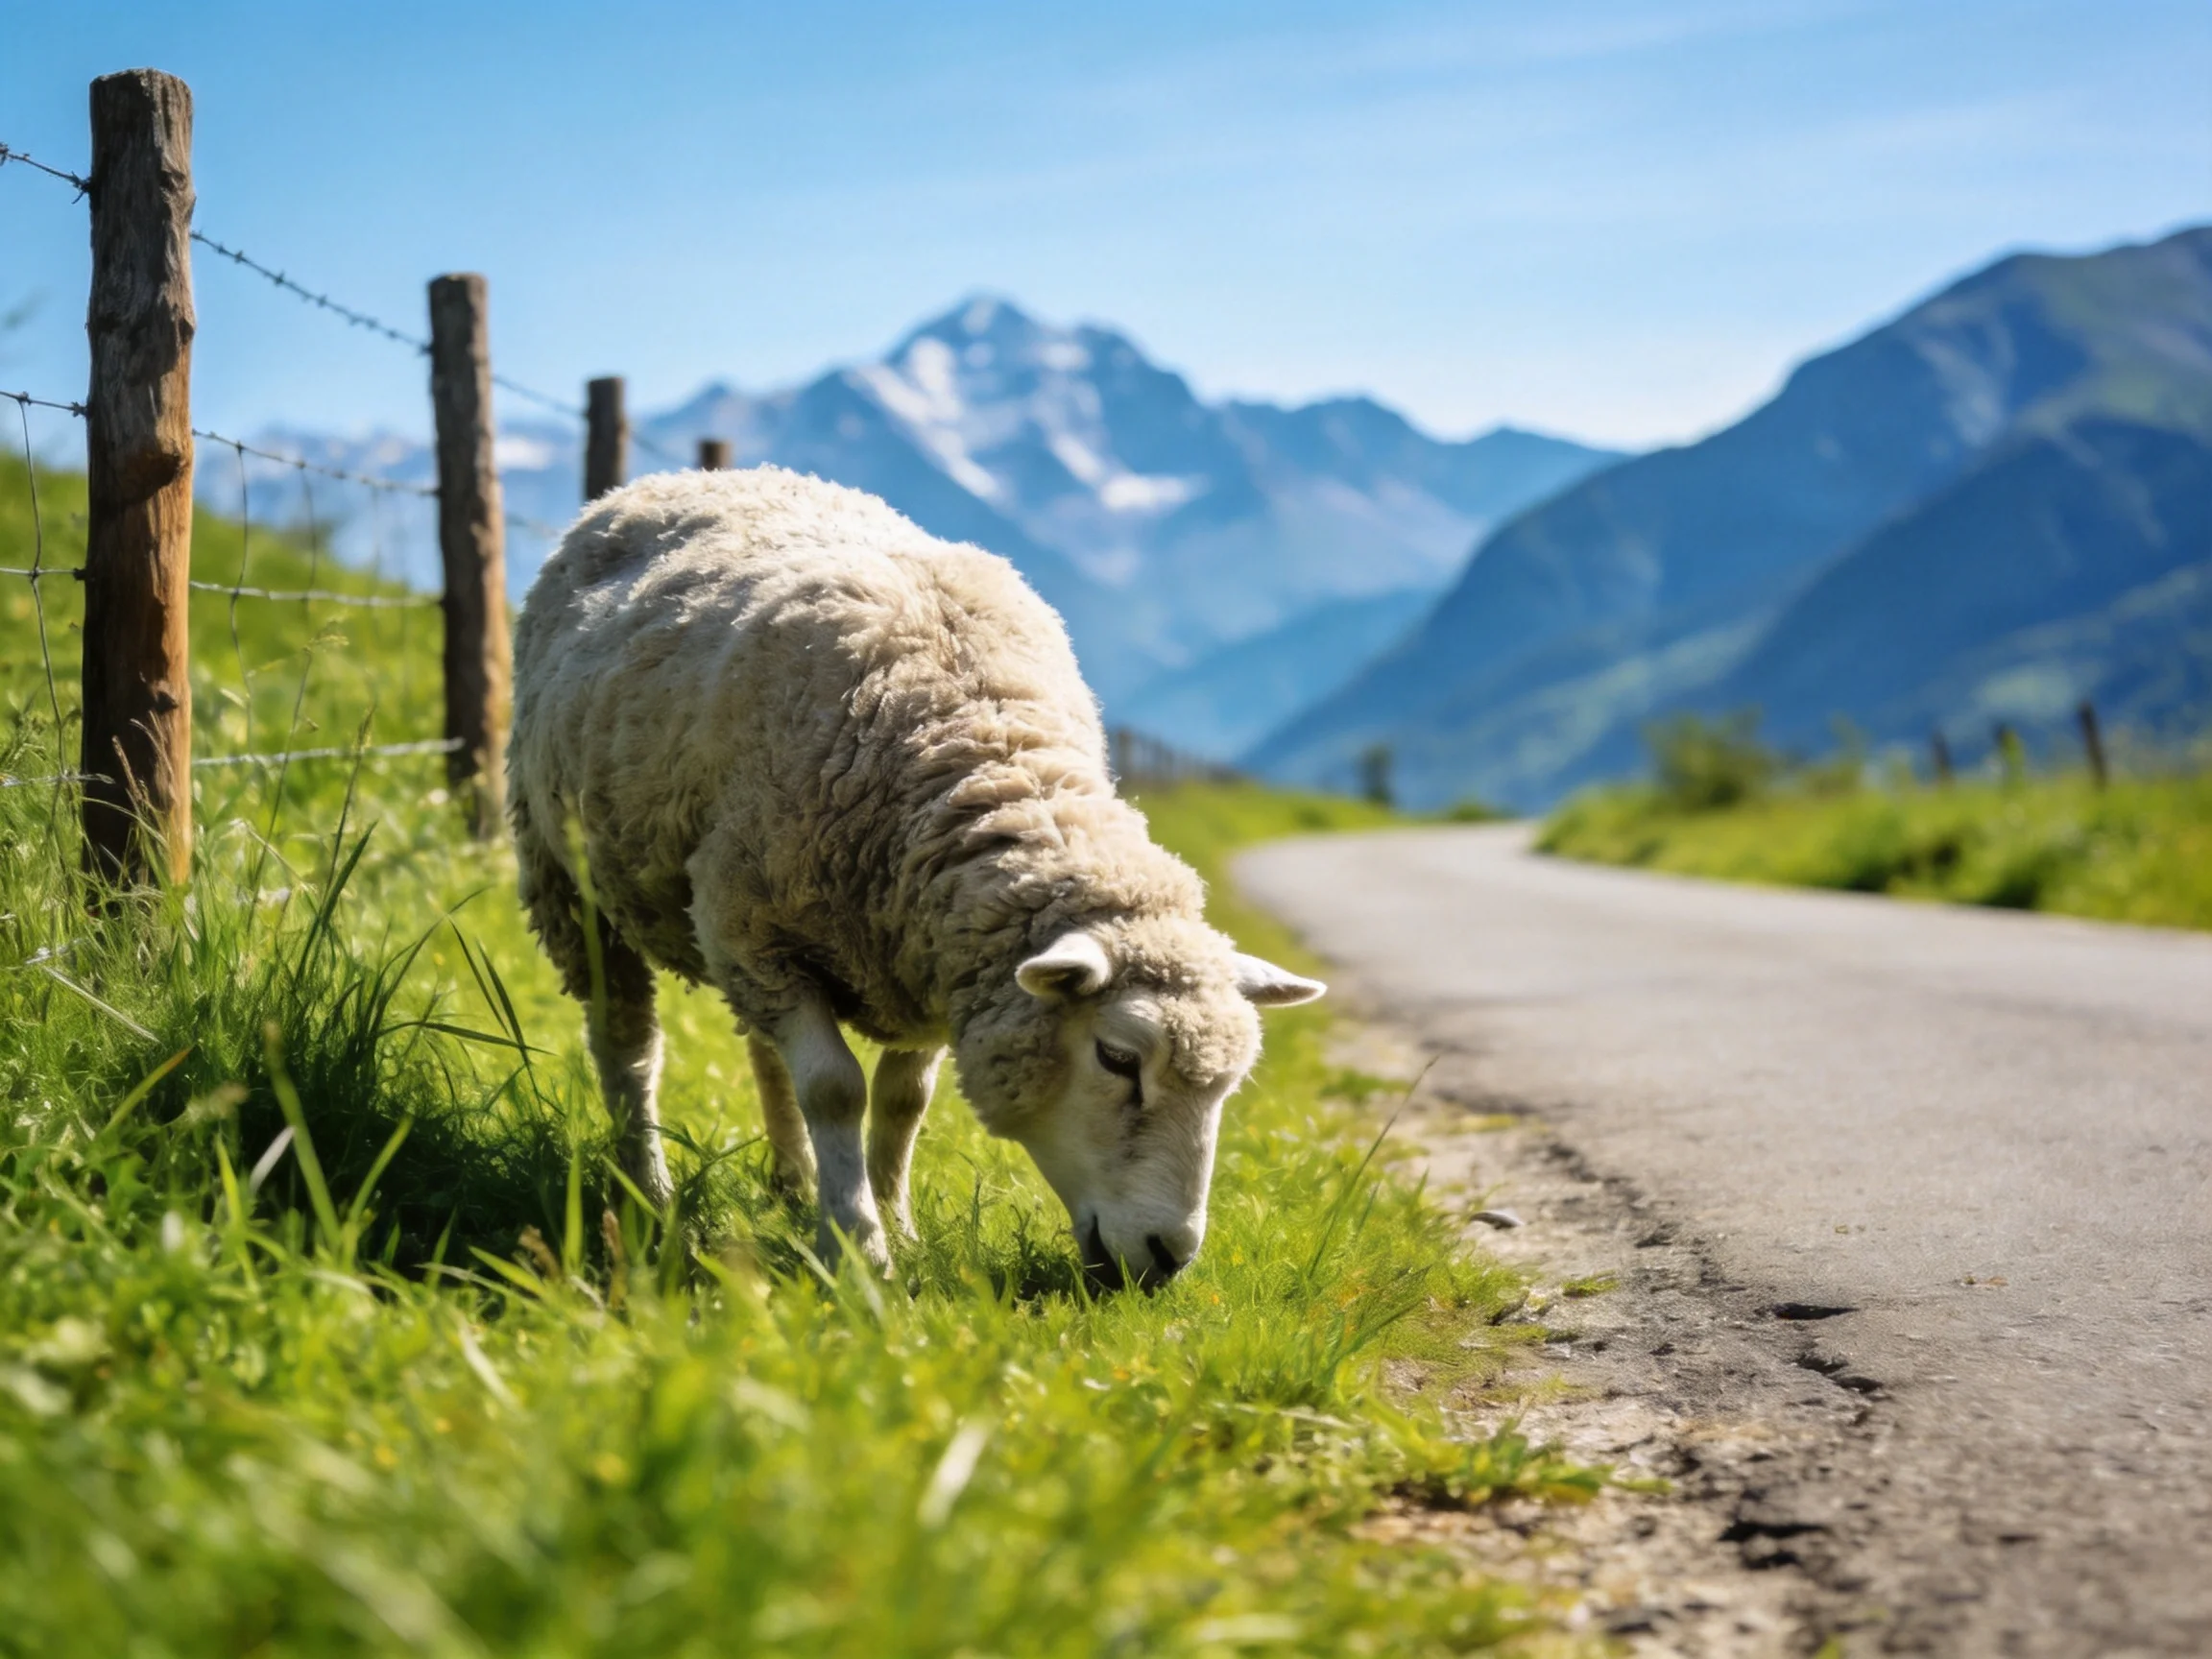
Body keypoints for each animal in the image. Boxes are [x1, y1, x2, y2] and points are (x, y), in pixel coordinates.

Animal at [508, 466, 1322, 1284]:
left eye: (1228, 1085)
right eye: (1118, 1058)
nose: (1168, 1257)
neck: (978, 749)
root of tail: (678, 478)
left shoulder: (931, 958)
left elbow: (905, 1101)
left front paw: (896, 1227)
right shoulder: (767, 934)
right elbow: (835, 1090)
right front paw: (857, 1249)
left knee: (761, 1051)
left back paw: (791, 1182)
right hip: (576, 885)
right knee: (629, 1046)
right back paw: (647, 1192)